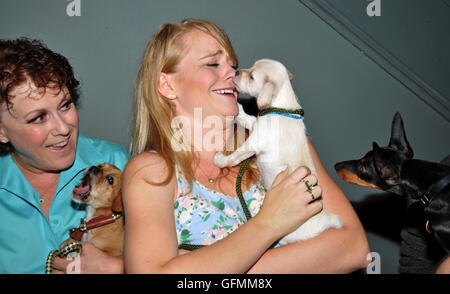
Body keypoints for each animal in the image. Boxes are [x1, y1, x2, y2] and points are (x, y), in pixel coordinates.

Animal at [214, 58, 342, 243]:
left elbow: (235, 157)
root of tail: (325, 221)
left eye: (252, 77)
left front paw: (220, 160)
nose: (236, 71)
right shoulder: (256, 125)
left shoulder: (254, 142)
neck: (281, 107)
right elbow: (246, 117)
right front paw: (236, 109)